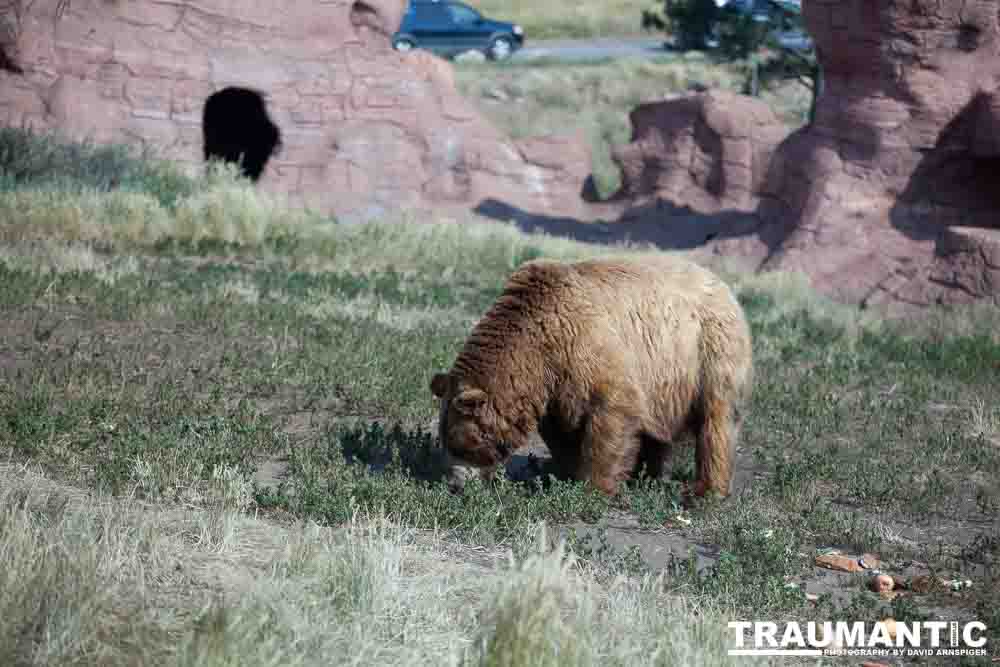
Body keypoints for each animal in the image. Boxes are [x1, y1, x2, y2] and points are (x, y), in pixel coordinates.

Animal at [429, 254, 753, 498]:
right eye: (444, 441)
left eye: (461, 444)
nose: (454, 485)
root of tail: (722, 285)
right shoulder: (555, 384)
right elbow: (561, 430)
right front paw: (564, 471)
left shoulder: (589, 349)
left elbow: (611, 414)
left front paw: (593, 486)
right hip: (665, 378)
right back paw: (646, 475)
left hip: (708, 351)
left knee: (717, 421)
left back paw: (704, 491)